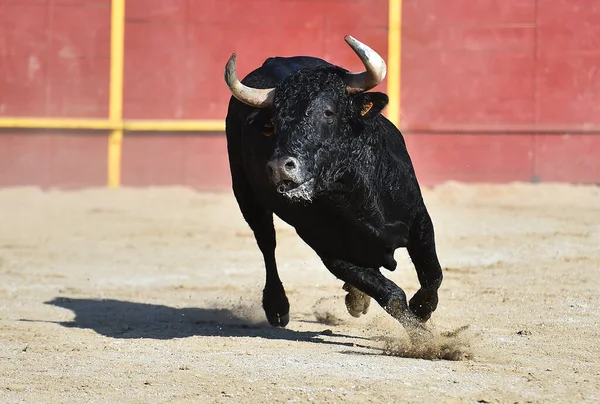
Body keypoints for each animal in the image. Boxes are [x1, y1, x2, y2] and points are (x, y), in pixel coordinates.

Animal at [223, 35, 442, 332]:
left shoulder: (419, 219)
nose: (279, 166)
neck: (355, 195)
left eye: (328, 112)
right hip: (245, 194)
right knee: (267, 243)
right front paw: (425, 338)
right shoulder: (330, 252)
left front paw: (421, 309)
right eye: (274, 123)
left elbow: (432, 274)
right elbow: (392, 295)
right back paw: (277, 307)